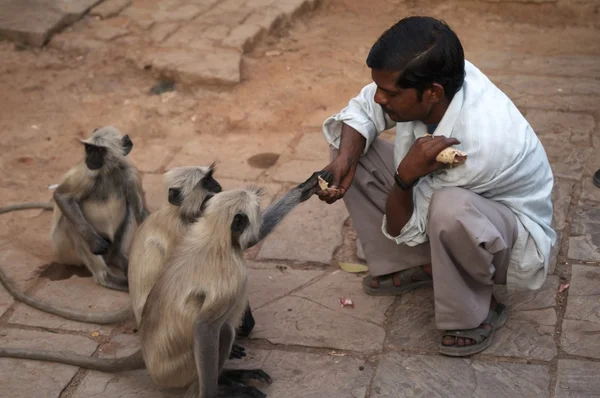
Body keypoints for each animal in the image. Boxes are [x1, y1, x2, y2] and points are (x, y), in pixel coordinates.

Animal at [0, 169, 332, 396]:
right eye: (207, 186)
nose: (217, 187)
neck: (216, 237)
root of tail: (145, 351)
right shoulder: (230, 269)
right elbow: (205, 326)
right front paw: (213, 390)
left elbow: (252, 239)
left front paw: (307, 186)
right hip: (176, 368)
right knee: (220, 330)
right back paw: (226, 379)